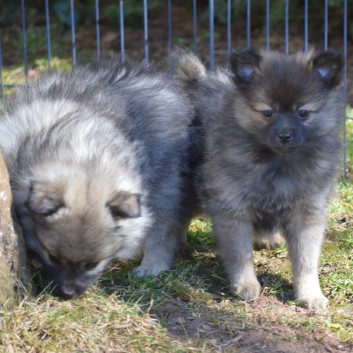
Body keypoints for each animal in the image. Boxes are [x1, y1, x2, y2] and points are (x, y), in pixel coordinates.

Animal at [0, 62, 192, 296]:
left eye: (92, 264)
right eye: (52, 257)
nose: (68, 294)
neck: (81, 157)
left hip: (164, 184)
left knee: (162, 230)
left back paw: (152, 265)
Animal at [174, 48, 344, 310]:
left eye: (303, 113)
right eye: (268, 112)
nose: (285, 135)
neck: (279, 163)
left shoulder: (307, 213)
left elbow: (306, 261)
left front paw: (310, 294)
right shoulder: (233, 209)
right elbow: (240, 255)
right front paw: (246, 285)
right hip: (190, 188)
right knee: (180, 217)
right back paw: (180, 246)